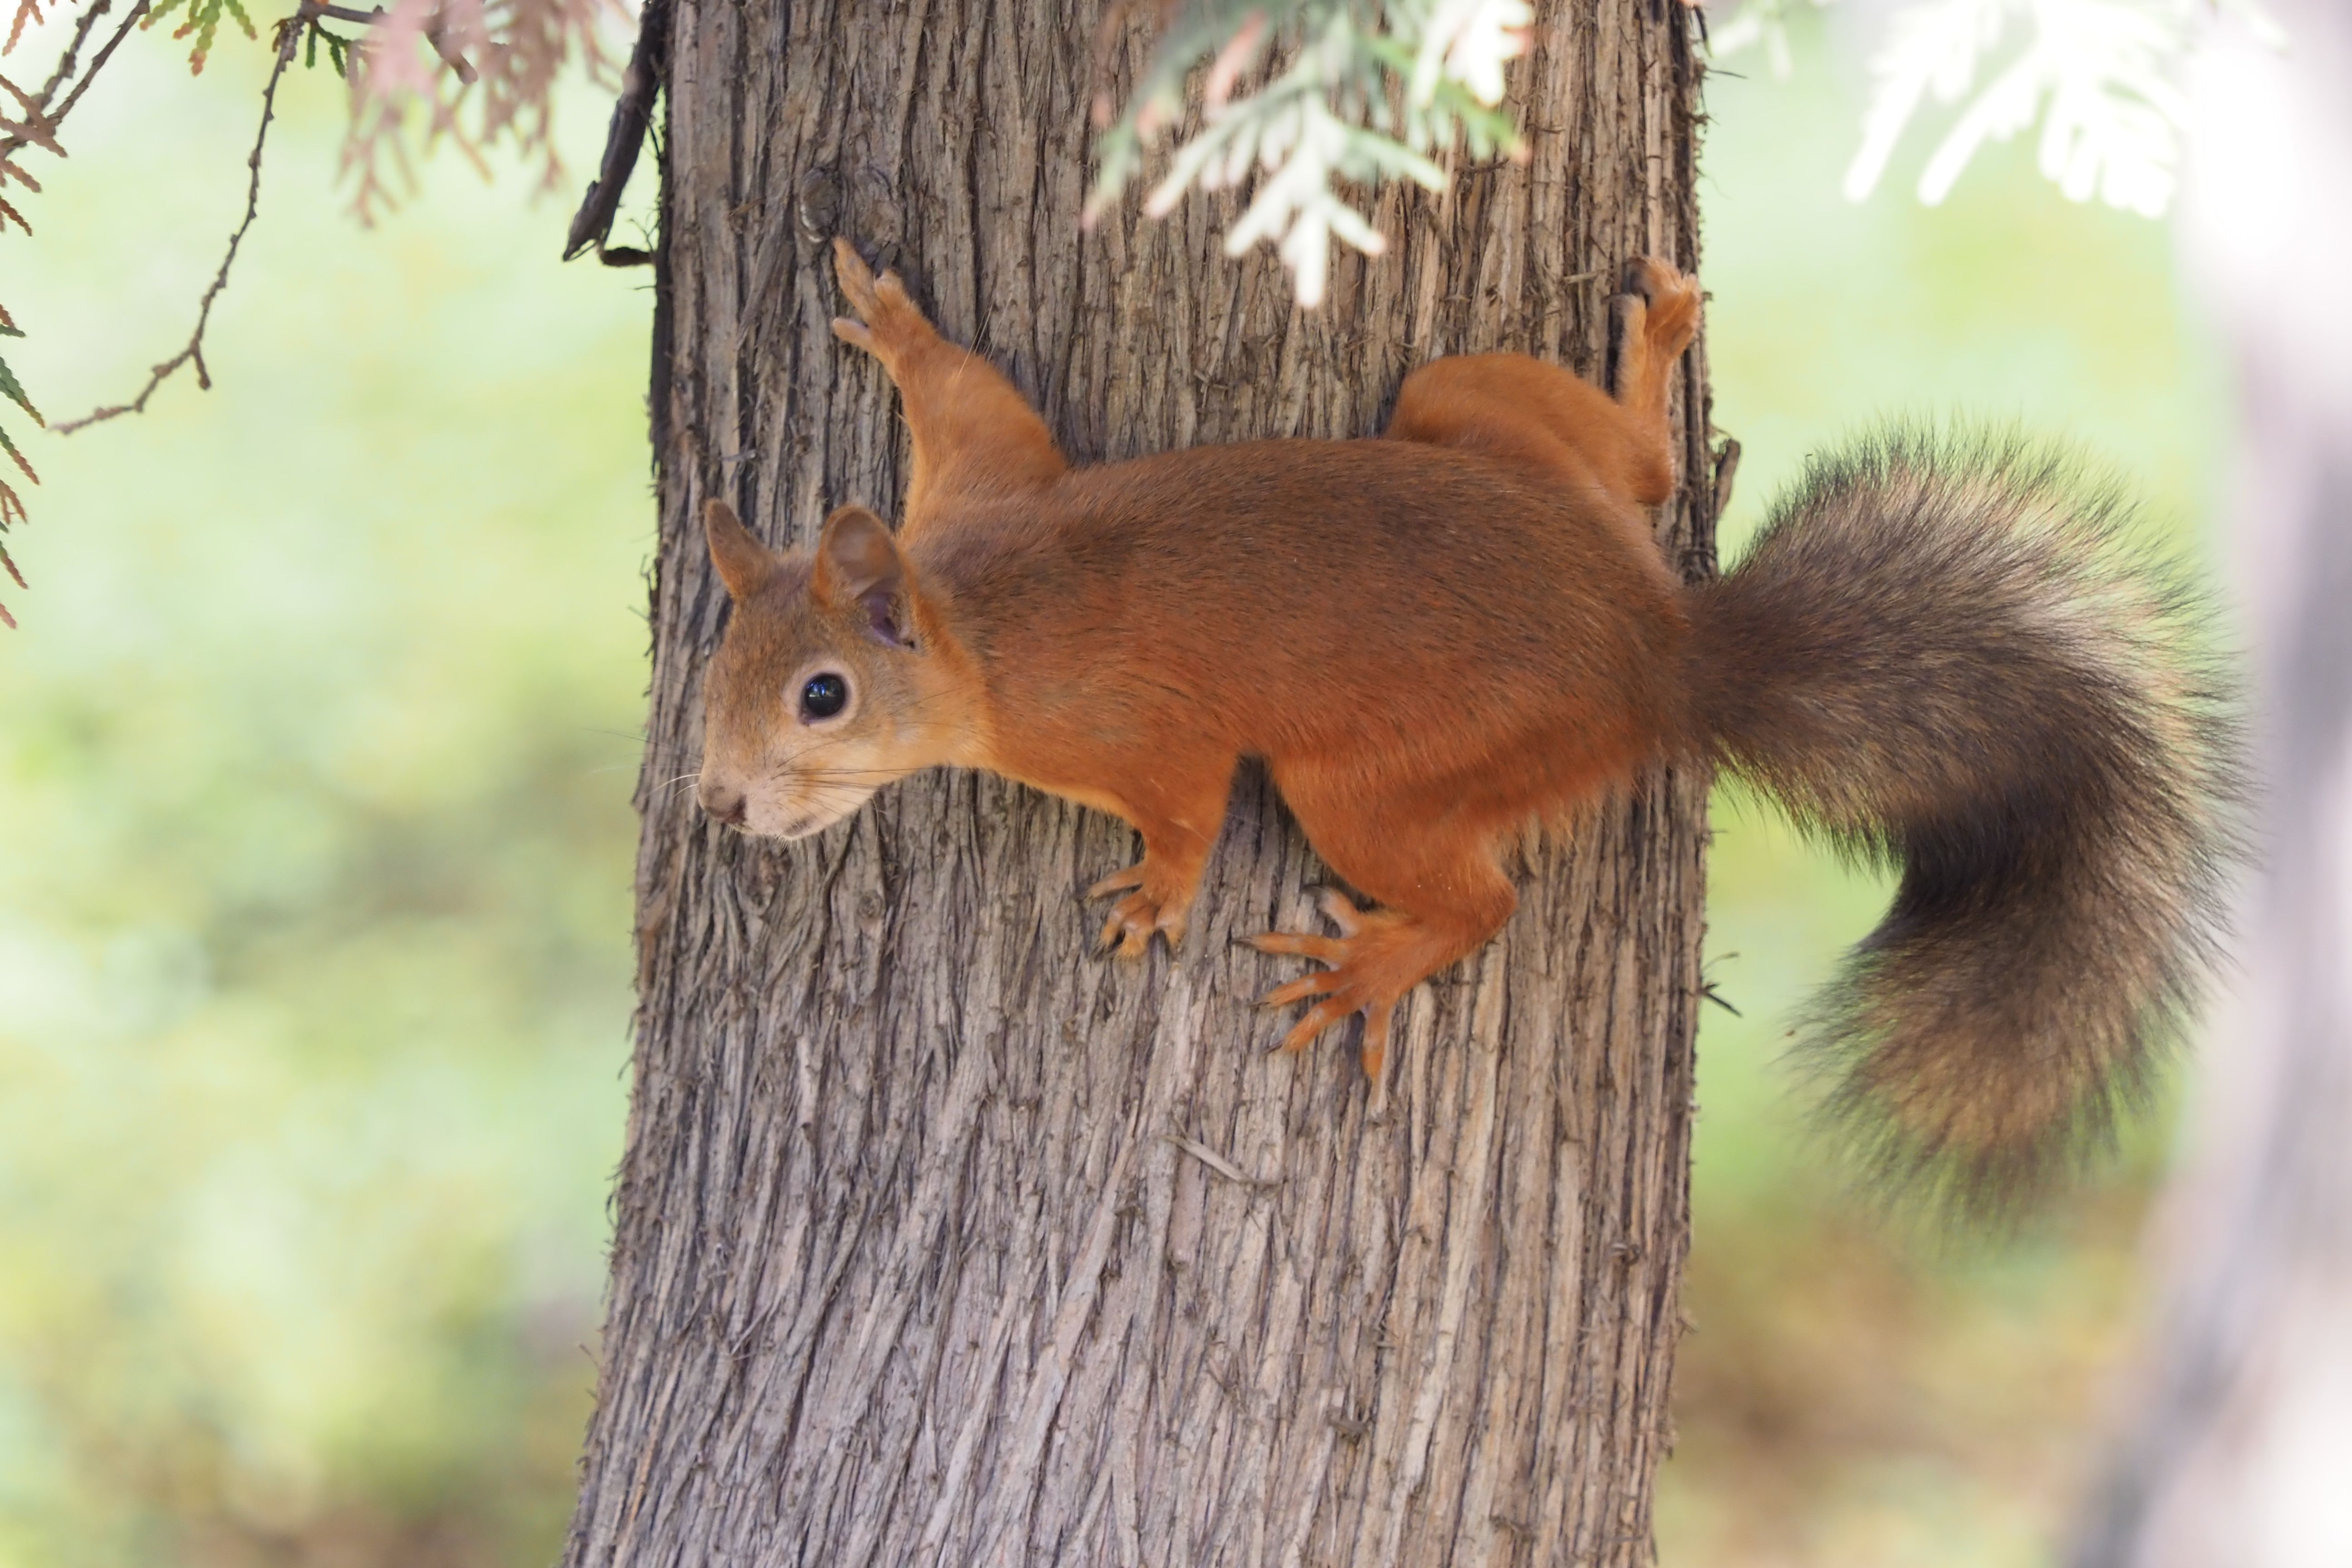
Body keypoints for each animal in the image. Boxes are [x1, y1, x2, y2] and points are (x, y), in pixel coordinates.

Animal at [686, 240, 2230, 1213]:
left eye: (822, 696)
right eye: (714, 674)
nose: (717, 803)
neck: (977, 628)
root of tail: (1659, 656)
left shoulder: (1127, 722)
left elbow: (1185, 802)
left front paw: (1158, 894)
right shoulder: (983, 486)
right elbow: (975, 396)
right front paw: (896, 324)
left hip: (1369, 779)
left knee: (1483, 900)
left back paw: (1368, 969)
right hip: (1476, 412)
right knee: (1643, 467)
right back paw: (1654, 353)